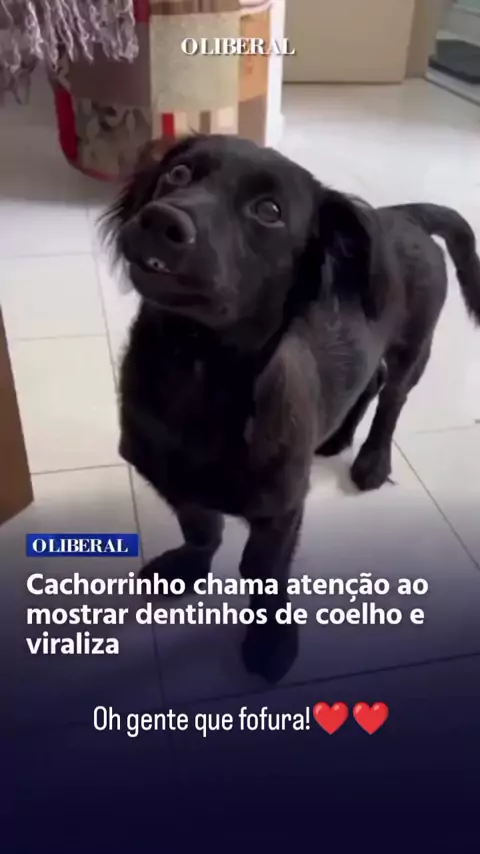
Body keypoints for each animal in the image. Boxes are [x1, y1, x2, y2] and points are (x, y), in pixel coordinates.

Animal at [102, 133, 480, 683]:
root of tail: (406, 215)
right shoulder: (175, 485)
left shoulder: (281, 508)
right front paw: (187, 568)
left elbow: (264, 571)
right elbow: (202, 529)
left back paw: (371, 459)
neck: (191, 374)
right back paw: (337, 436)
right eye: (178, 174)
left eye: (269, 211)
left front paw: (271, 640)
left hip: (413, 347)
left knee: (392, 397)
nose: (161, 220)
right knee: (369, 380)